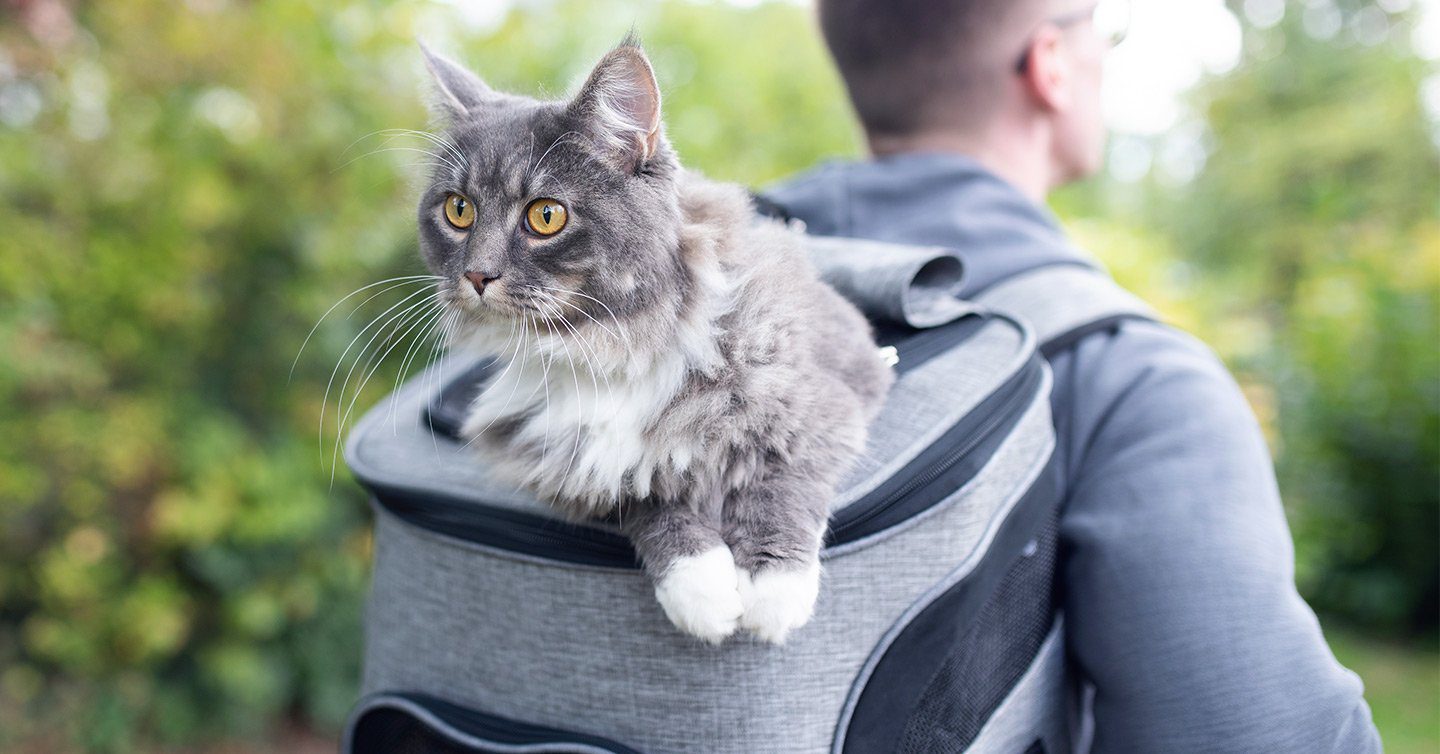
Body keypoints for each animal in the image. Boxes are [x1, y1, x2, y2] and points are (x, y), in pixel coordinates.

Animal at [411, 38, 892, 644]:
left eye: (546, 215)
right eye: (458, 209)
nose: (477, 275)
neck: (608, 350)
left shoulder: (832, 395)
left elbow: (782, 480)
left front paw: (772, 589)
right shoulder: (554, 460)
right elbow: (642, 495)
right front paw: (702, 590)